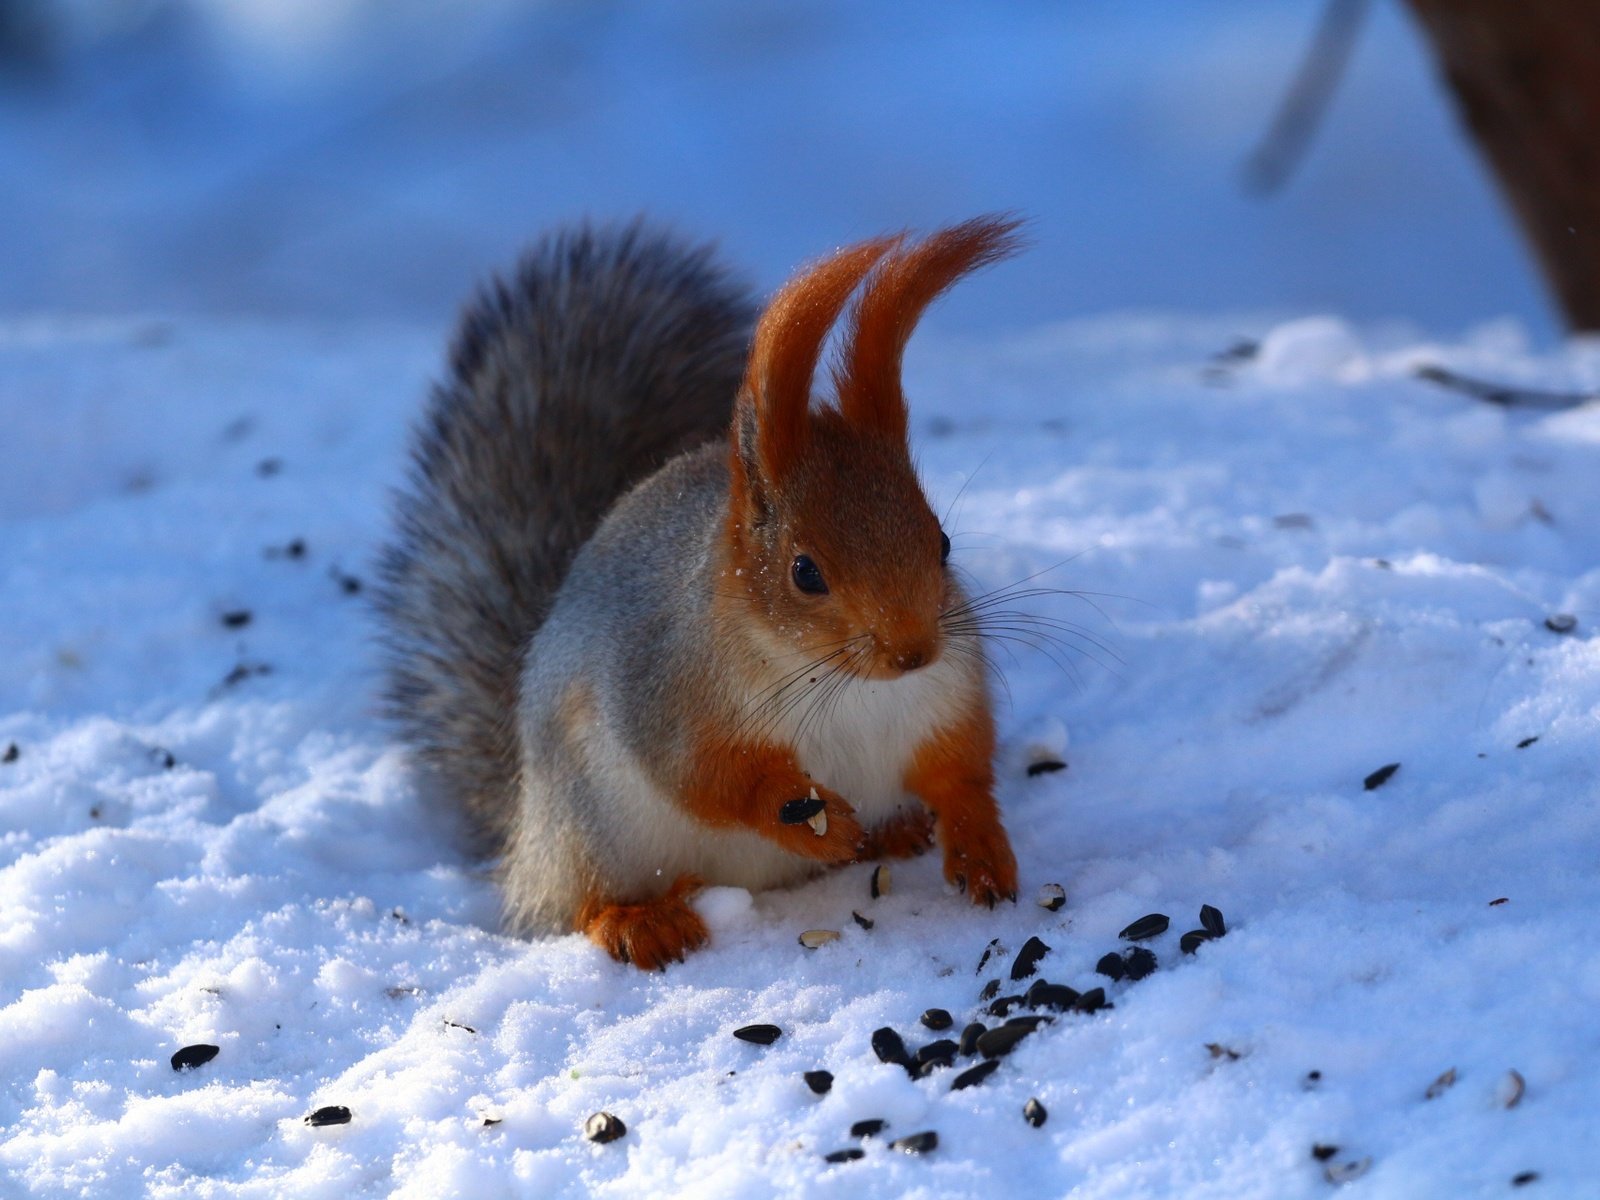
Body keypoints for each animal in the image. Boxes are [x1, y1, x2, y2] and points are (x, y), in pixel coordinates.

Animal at [379, 214, 1017, 966]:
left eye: (942, 541)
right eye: (805, 572)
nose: (912, 652)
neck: (840, 682)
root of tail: (524, 833)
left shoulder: (945, 695)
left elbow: (960, 770)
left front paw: (978, 845)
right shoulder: (669, 690)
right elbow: (702, 775)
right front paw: (802, 815)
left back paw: (895, 832)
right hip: (590, 826)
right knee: (582, 901)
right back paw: (641, 921)